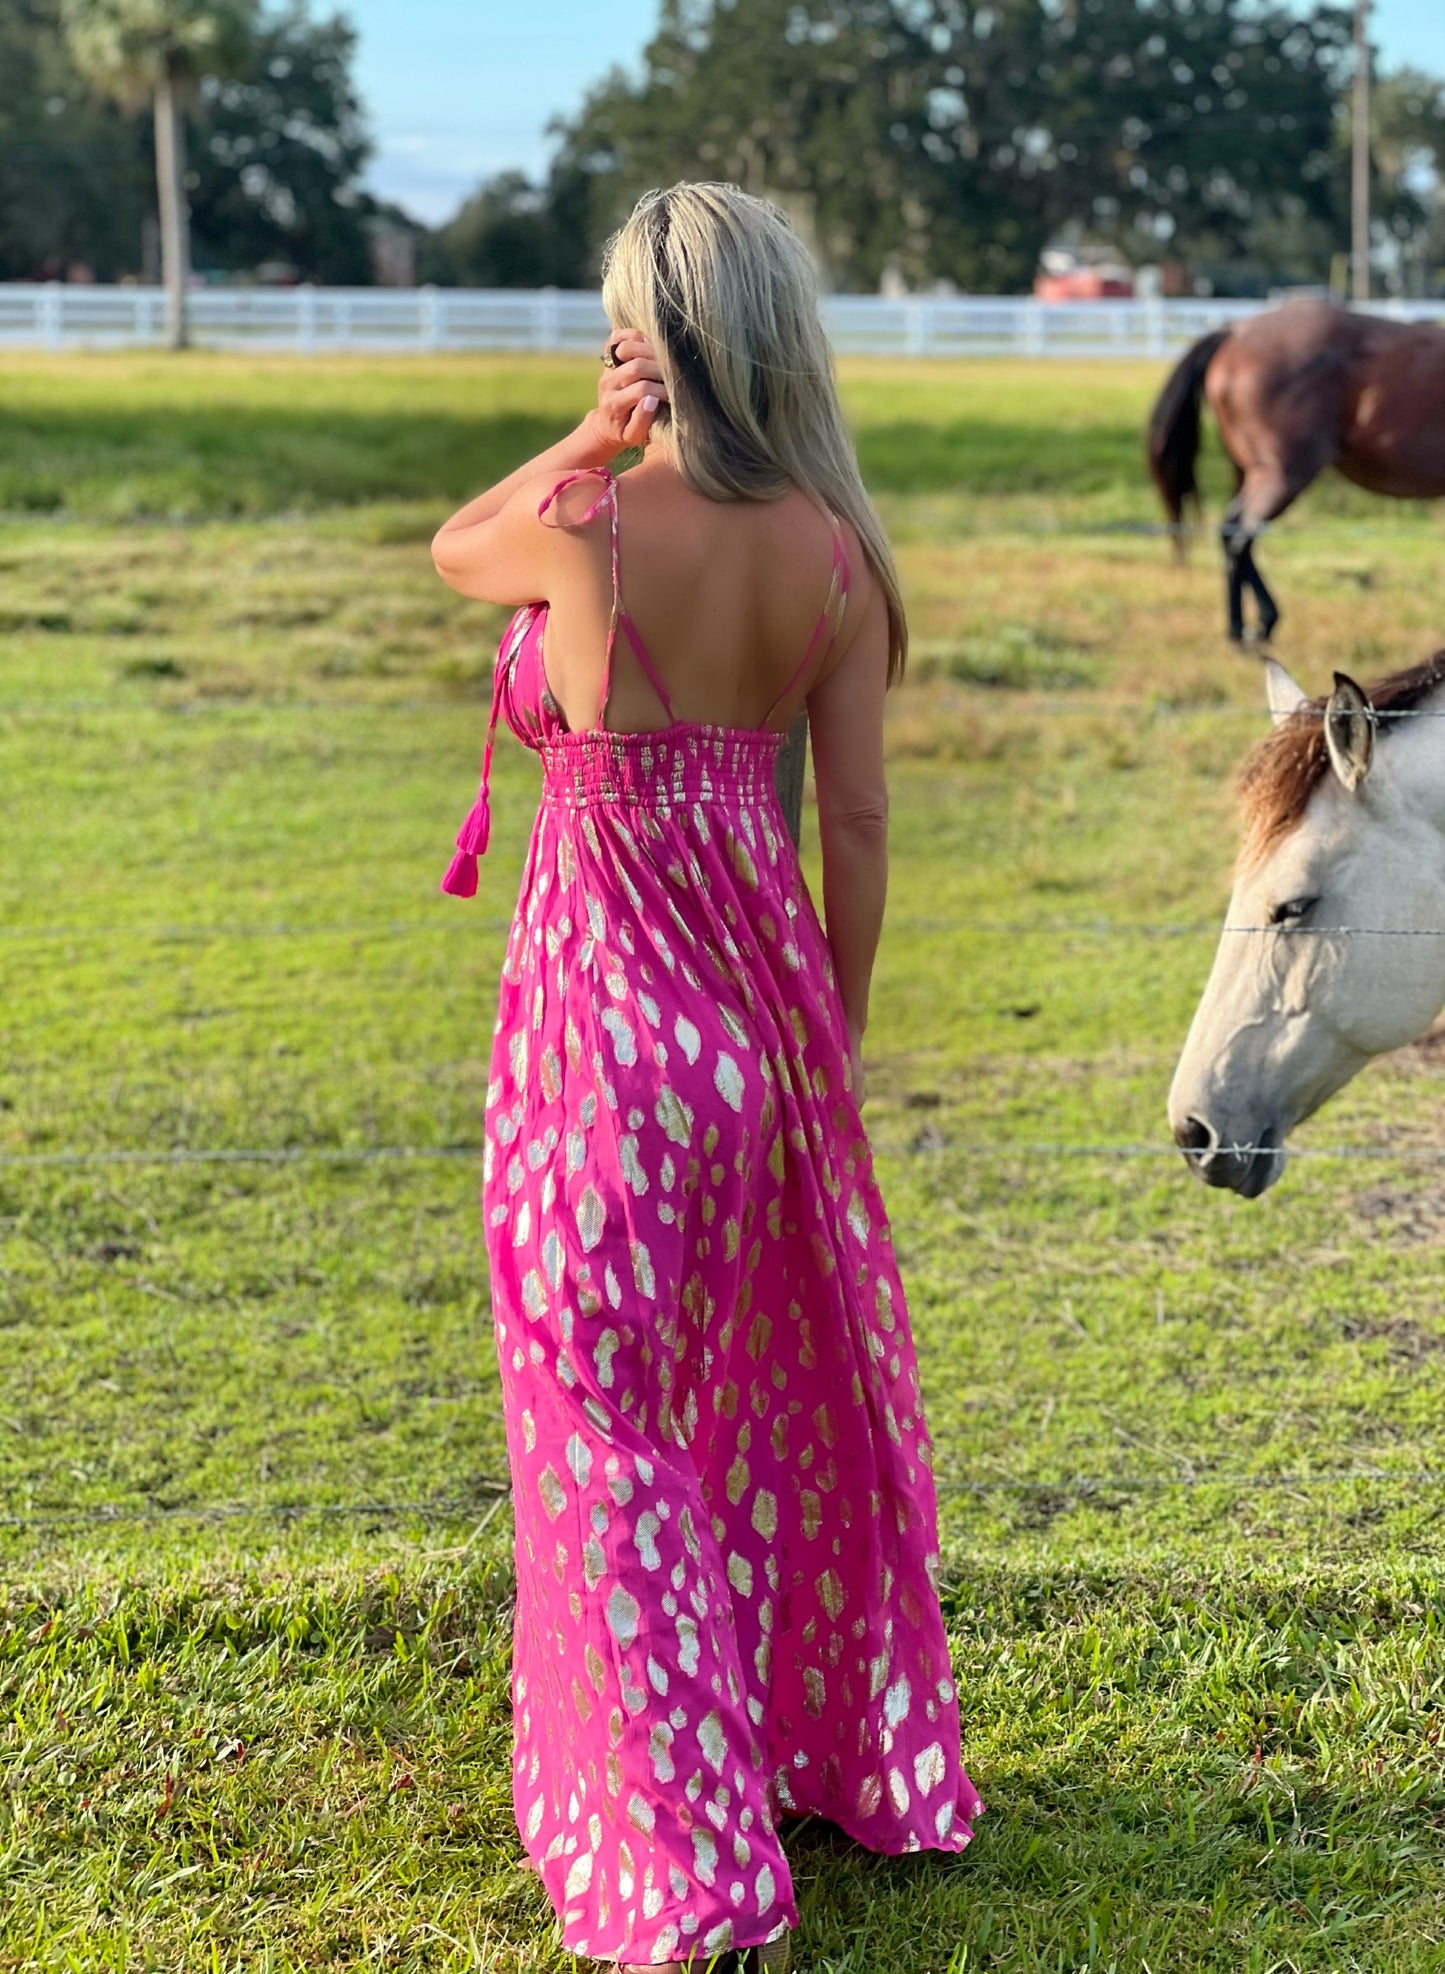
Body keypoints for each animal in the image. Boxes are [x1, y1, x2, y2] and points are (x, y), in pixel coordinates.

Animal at [1152, 296, 1445, 643]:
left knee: (1231, 531)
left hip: (1253, 473)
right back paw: (1255, 625)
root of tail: (1236, 332)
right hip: (1282, 476)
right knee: (1240, 535)